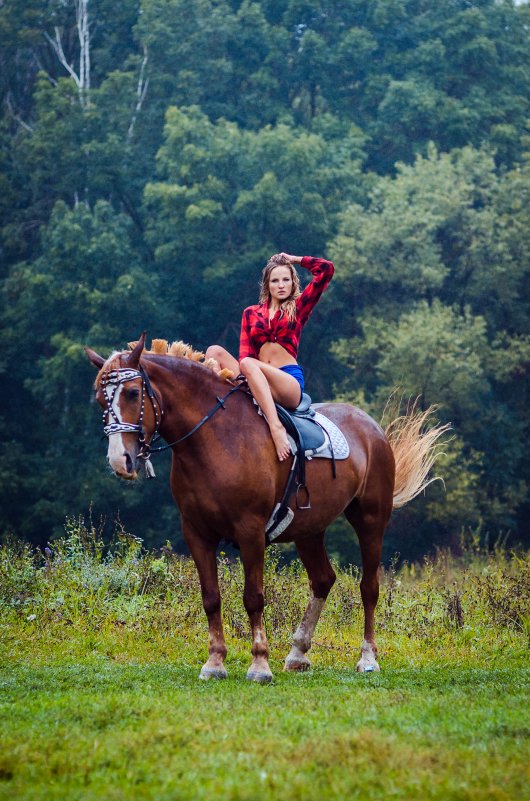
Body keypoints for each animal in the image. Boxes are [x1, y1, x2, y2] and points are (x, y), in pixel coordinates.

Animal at [85, 332, 446, 680]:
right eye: (101, 399)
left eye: (133, 393)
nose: (120, 460)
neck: (214, 438)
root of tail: (371, 427)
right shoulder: (196, 533)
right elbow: (211, 598)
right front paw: (214, 661)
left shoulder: (251, 532)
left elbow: (253, 597)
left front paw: (259, 663)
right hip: (308, 530)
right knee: (323, 580)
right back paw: (298, 653)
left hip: (370, 520)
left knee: (369, 587)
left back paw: (367, 658)